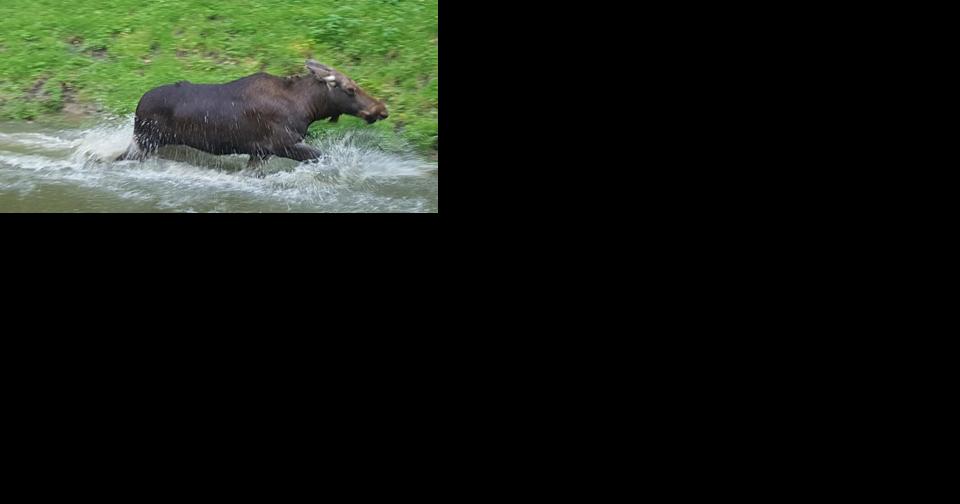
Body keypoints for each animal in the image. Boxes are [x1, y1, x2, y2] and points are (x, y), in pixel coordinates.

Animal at [116, 60, 389, 170]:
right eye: (351, 89)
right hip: (146, 142)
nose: (381, 109)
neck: (309, 108)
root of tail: (137, 108)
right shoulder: (282, 145)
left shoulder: (260, 152)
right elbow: (321, 156)